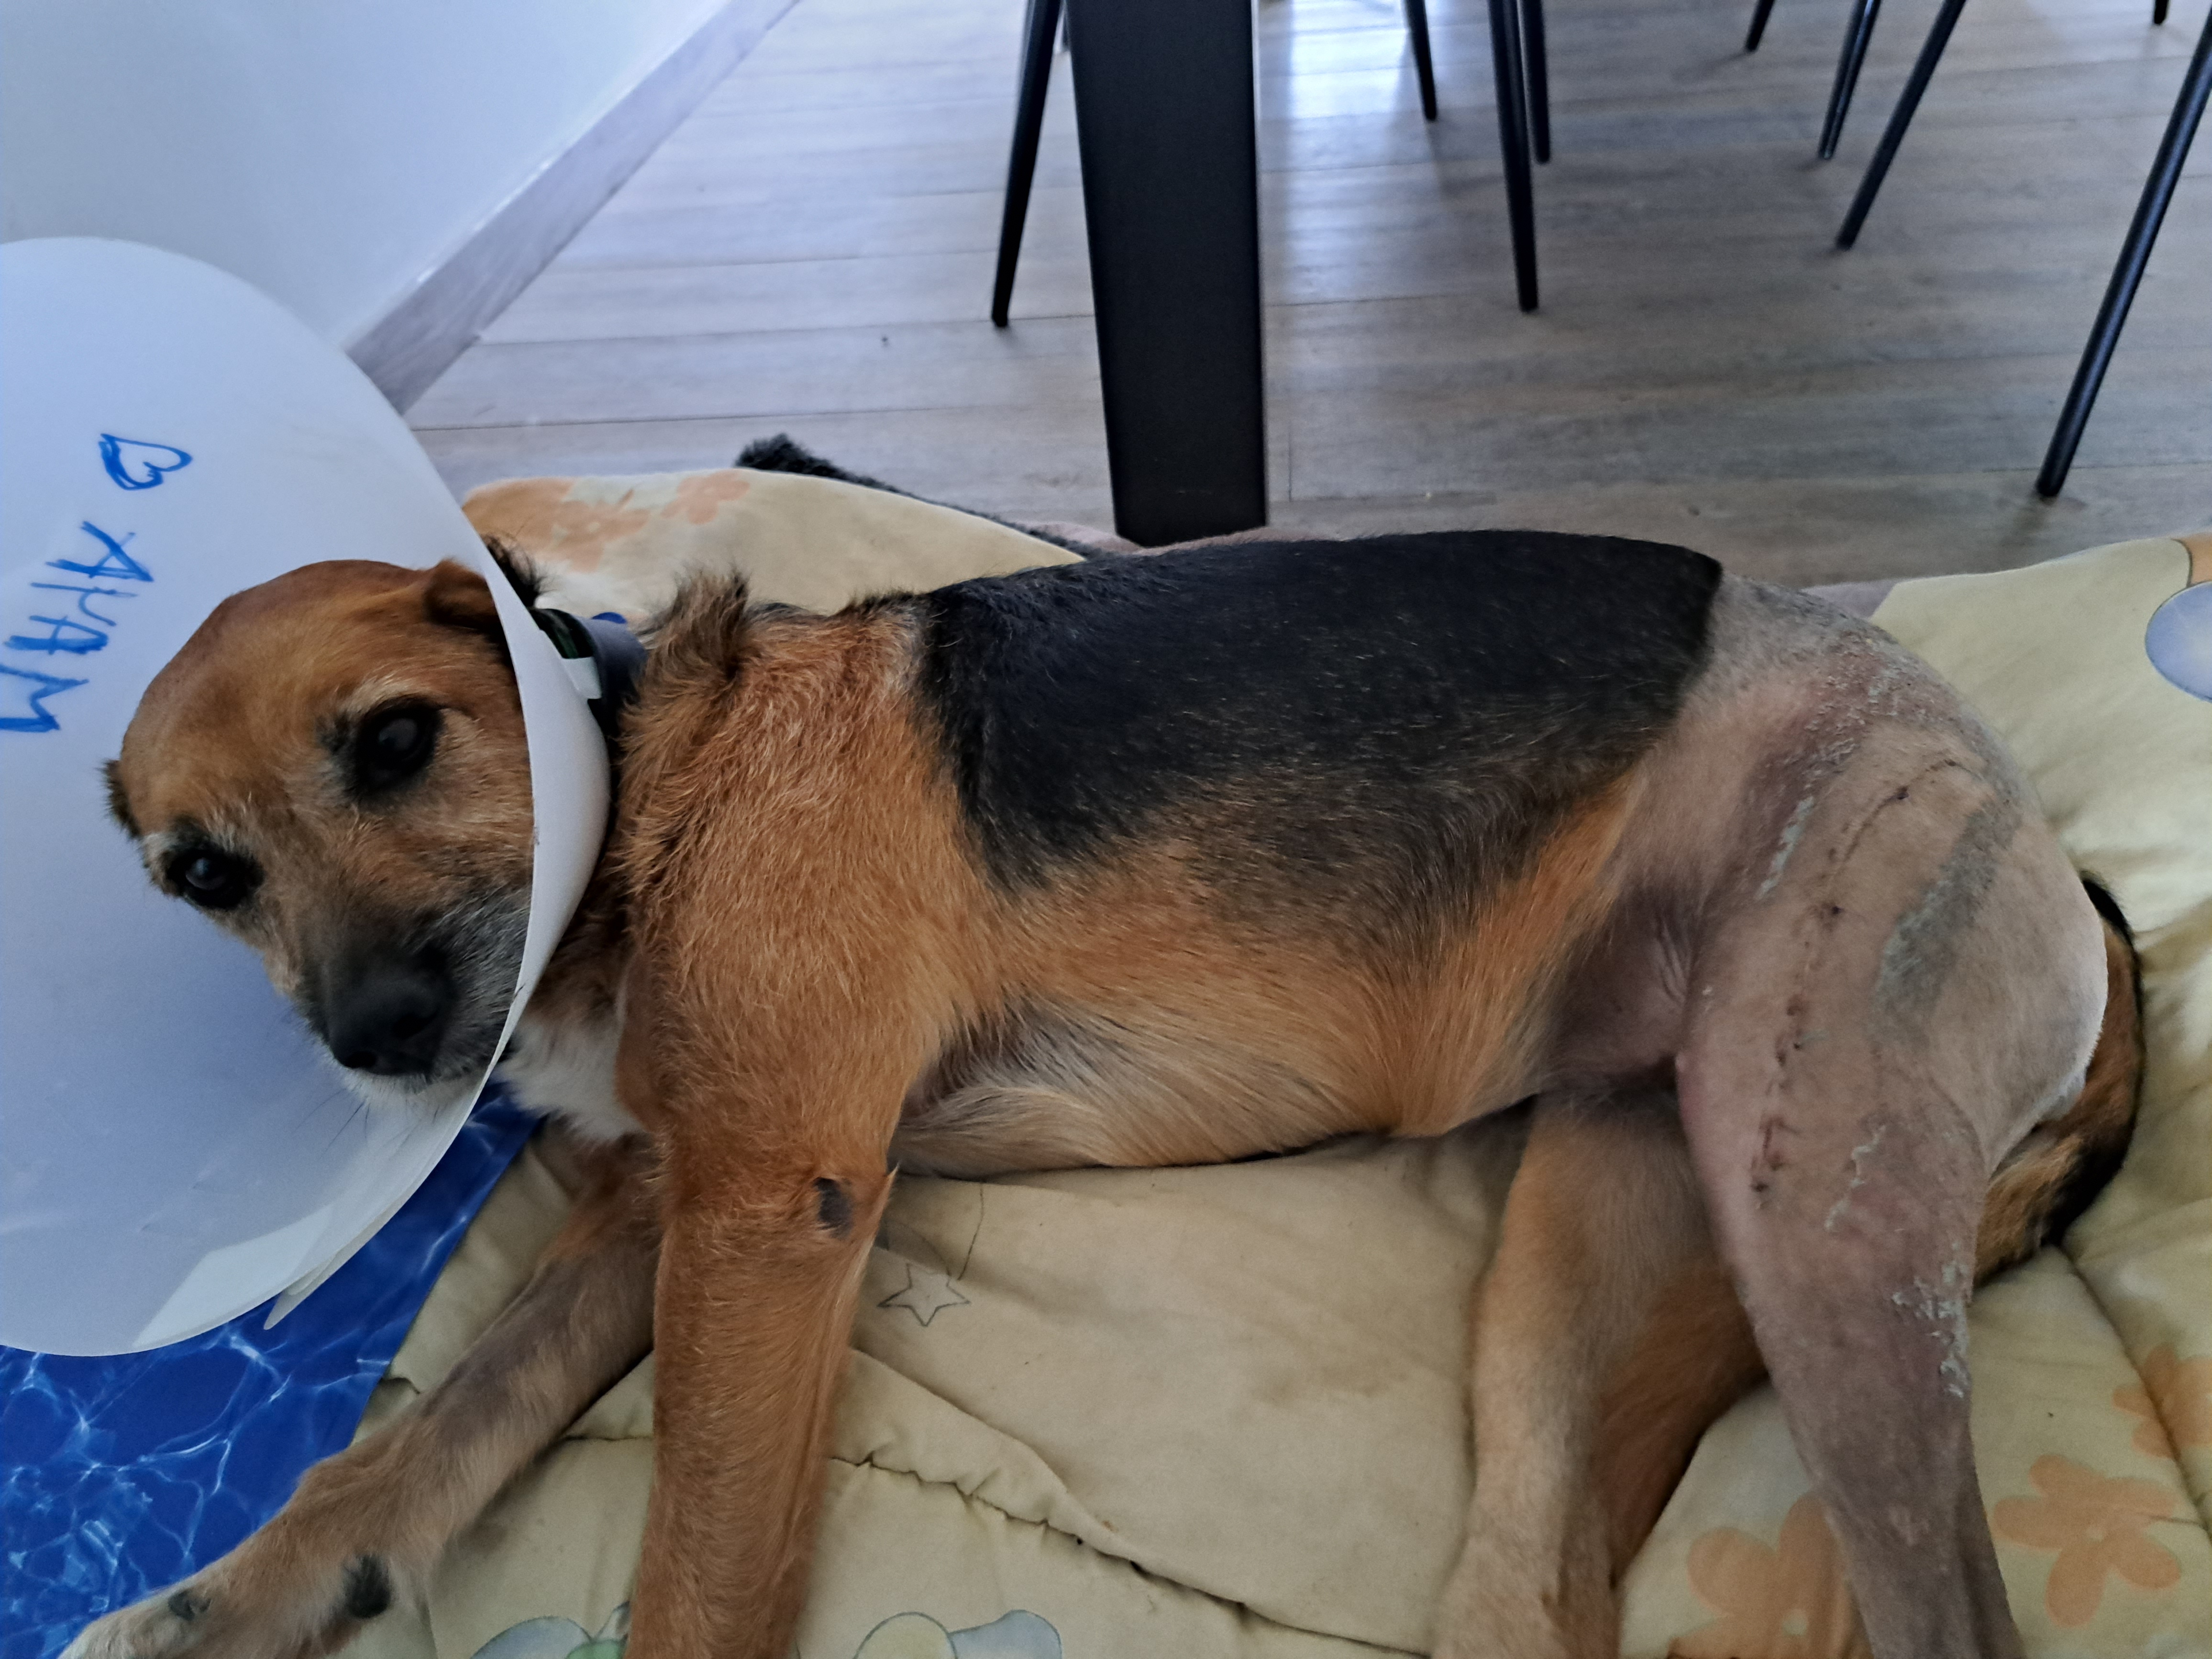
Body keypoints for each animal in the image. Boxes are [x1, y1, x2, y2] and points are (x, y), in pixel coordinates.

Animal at [80, 526, 2142, 1659]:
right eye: (203, 875)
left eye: (396, 740)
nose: (376, 1038)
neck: (660, 771)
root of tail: (2057, 856)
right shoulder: (666, 1204)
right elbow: (417, 1442)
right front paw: (228, 1602)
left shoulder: (766, 1212)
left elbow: (692, 1578)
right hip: (1587, 1247)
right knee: (1535, 1584)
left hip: (1823, 1199)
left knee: (1944, 1601)